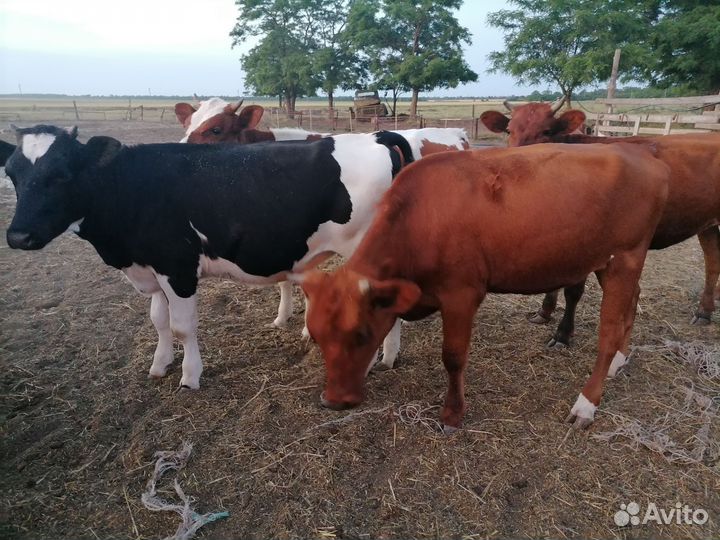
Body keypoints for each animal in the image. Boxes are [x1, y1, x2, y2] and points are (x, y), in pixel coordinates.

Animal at [4, 124, 414, 389]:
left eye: (61, 174)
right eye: (11, 173)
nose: (18, 236)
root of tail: (376, 137)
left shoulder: (178, 268)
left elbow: (182, 326)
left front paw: (190, 376)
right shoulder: (152, 268)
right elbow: (158, 321)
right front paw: (160, 365)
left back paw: (381, 359)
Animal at [298, 143, 669, 431]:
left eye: (361, 334)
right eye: (316, 336)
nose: (333, 401)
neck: (420, 217)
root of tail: (640, 152)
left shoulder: (461, 294)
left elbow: (453, 357)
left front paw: (452, 414)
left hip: (624, 259)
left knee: (609, 332)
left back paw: (586, 404)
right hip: (608, 264)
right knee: (630, 308)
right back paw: (619, 362)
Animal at [481, 103, 720, 342]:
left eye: (547, 131)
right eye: (509, 130)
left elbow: (573, 291)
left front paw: (563, 333)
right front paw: (544, 312)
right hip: (707, 223)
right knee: (712, 260)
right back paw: (704, 311)